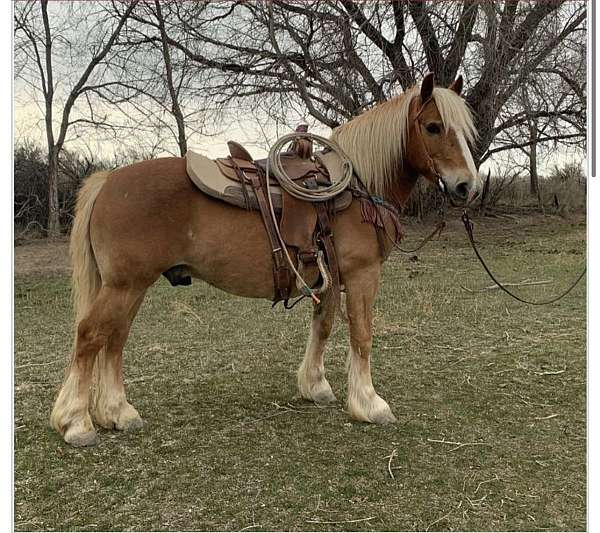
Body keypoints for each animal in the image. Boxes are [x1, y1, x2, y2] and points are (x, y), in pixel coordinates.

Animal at [50, 74, 478, 444]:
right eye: (433, 127)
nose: (466, 186)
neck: (357, 188)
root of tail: (108, 180)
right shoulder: (362, 276)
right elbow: (362, 334)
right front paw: (369, 404)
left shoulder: (332, 277)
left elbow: (323, 327)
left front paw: (315, 386)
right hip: (124, 285)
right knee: (90, 336)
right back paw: (77, 423)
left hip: (132, 286)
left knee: (115, 338)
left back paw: (118, 412)